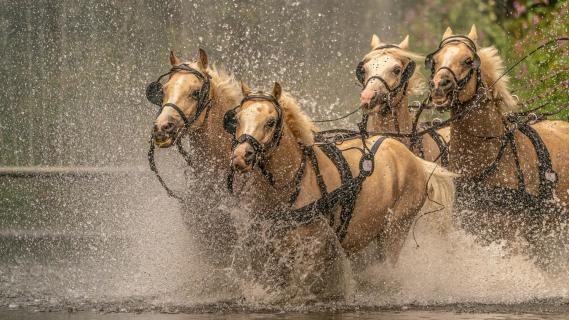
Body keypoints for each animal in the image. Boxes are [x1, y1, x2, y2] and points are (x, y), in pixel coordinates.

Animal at [224, 80, 454, 298]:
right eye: (237, 119)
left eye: (270, 122)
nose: (241, 156)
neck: (295, 180)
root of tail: (414, 159)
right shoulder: (272, 248)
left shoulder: (315, 246)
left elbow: (301, 287)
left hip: (395, 229)